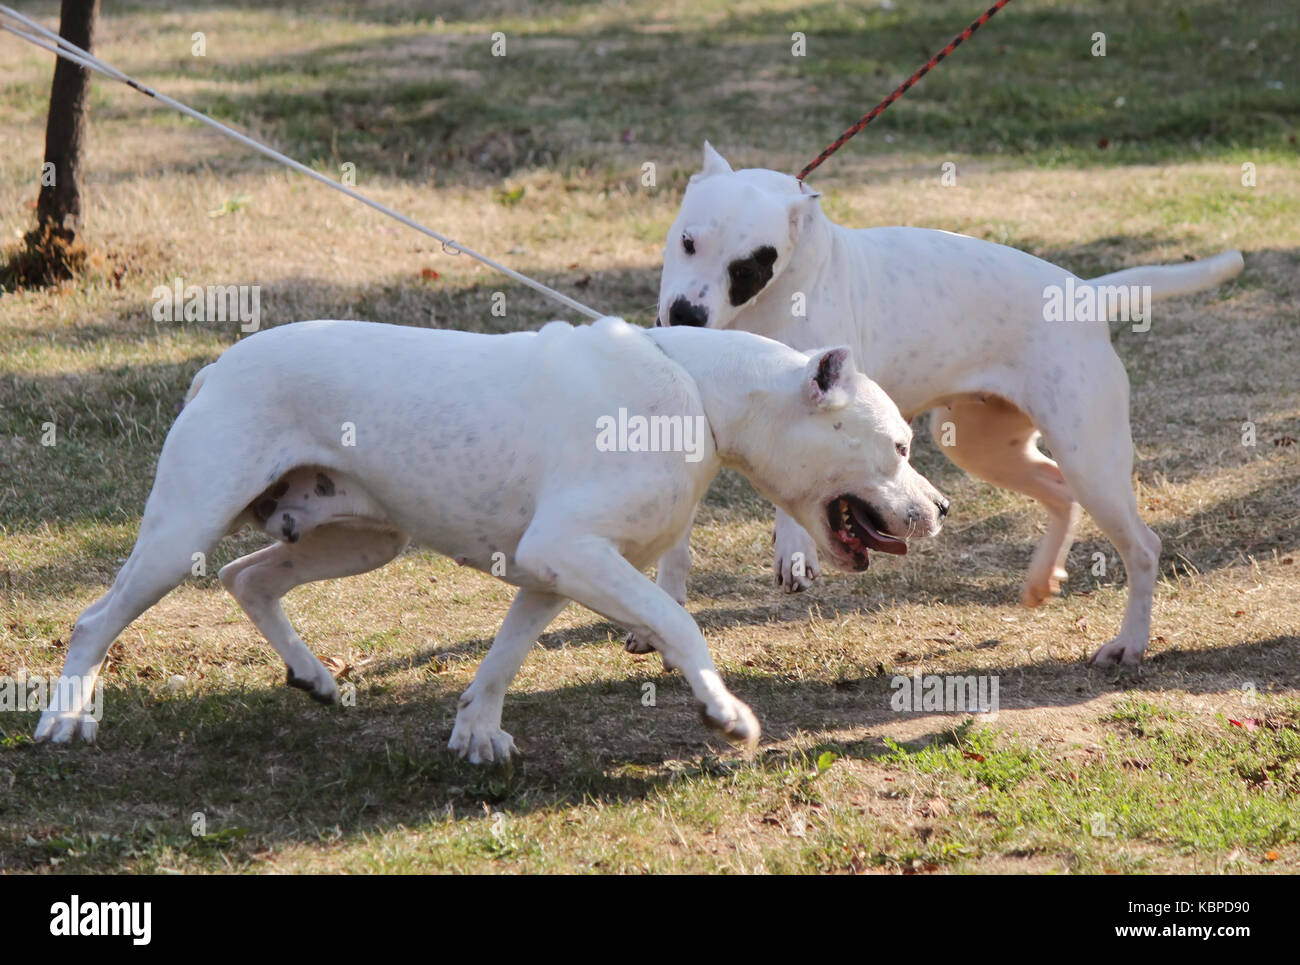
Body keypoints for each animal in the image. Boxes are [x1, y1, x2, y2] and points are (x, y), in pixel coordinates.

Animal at [30, 317, 946, 764]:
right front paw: (723, 713)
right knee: (96, 617)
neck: (702, 392)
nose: (939, 505)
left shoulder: (554, 568)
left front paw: (476, 731)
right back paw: (67, 717)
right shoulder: (573, 552)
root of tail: (216, 367)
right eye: (900, 445)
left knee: (250, 578)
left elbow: (506, 652)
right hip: (181, 530)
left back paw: (314, 675)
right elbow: (679, 622)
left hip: (363, 538)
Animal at [655, 143, 1242, 671]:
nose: (683, 314)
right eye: (687, 241)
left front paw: (794, 553)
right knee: (1057, 489)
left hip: (1090, 458)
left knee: (1141, 545)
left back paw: (1130, 642)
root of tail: (1086, 295)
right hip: (980, 444)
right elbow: (675, 536)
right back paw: (1040, 580)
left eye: (747, 267)